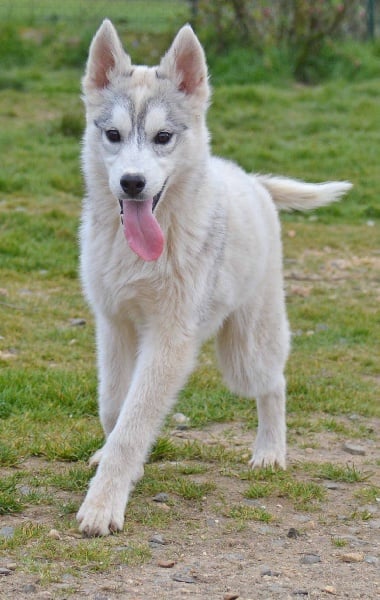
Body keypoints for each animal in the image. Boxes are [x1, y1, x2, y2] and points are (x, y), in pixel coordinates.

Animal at [77, 18, 354, 536]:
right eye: (113, 134)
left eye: (163, 136)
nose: (131, 183)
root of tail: (251, 180)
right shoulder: (114, 325)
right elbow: (115, 407)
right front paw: (111, 460)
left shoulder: (170, 339)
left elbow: (135, 422)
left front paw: (103, 504)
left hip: (245, 348)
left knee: (274, 383)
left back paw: (270, 451)